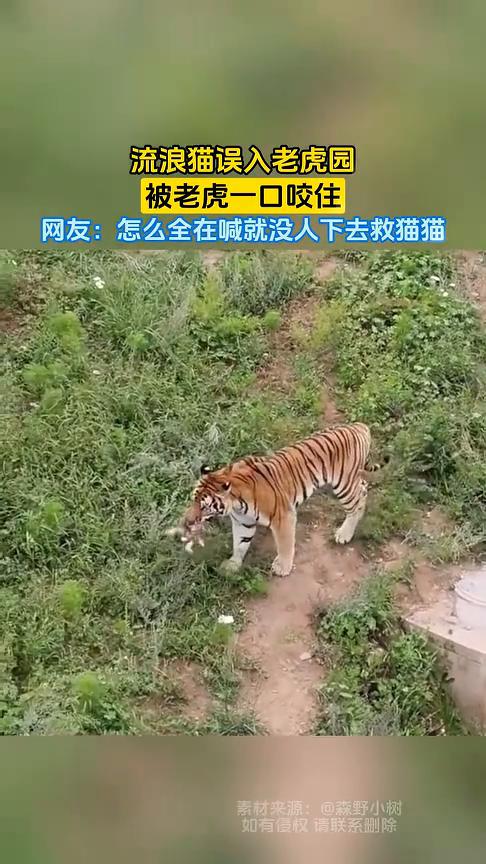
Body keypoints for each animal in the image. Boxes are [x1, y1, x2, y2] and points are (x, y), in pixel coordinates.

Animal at [173, 422, 373, 577]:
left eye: (205, 506)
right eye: (193, 500)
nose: (187, 521)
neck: (236, 504)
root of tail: (359, 426)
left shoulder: (283, 517)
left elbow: (285, 544)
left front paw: (283, 567)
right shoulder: (242, 522)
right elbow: (239, 544)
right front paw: (233, 564)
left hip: (343, 484)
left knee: (355, 504)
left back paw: (344, 534)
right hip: (350, 481)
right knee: (363, 488)